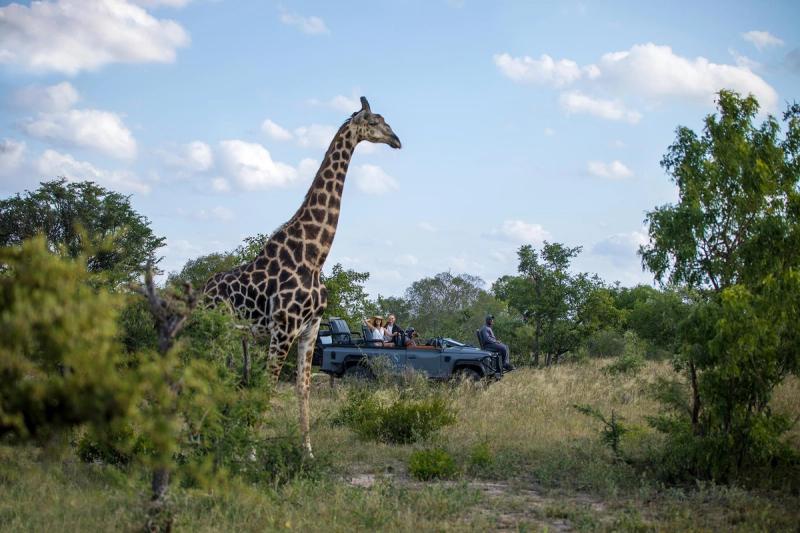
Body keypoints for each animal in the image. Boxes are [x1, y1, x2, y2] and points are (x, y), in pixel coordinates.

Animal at [203, 97, 401, 456]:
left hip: (237, 338)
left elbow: (302, 388)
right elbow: (268, 386)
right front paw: (250, 451)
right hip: (218, 332)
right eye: (375, 122)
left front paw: (306, 451)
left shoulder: (309, 330)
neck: (315, 256)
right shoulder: (284, 329)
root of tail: (201, 291)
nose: (397, 140)